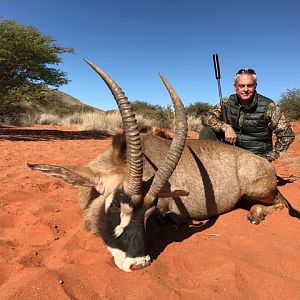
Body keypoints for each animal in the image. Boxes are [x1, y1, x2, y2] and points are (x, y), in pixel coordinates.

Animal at [27, 58, 298, 272]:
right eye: (115, 203)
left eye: (149, 212)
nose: (138, 263)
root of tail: (264, 162)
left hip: (258, 191)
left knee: (280, 205)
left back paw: (255, 215)